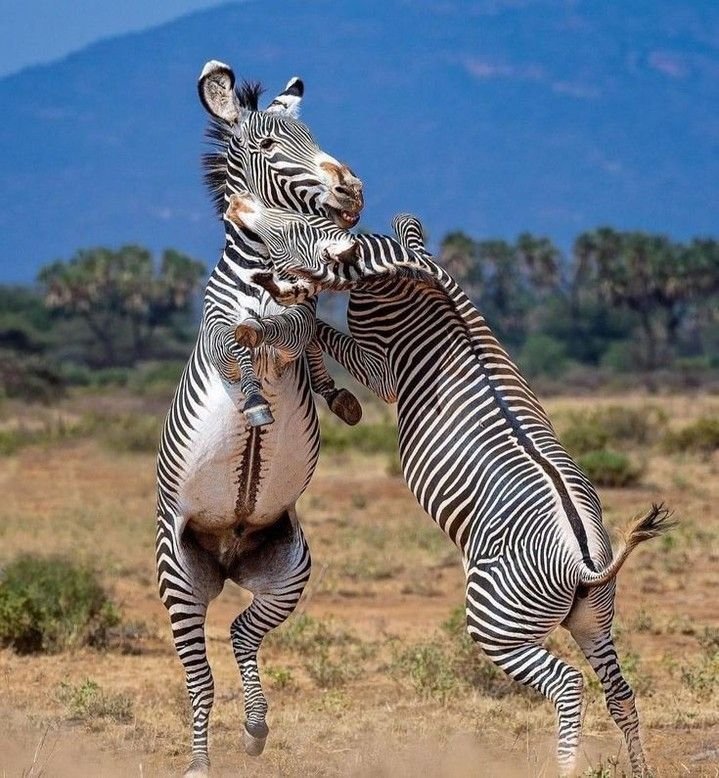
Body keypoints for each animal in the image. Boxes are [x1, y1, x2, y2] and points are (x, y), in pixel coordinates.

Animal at [156, 60, 365, 776]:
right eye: (274, 147)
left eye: (315, 135)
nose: (353, 189)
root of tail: (227, 553)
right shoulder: (219, 326)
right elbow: (233, 342)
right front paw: (251, 399)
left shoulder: (299, 330)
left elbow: (303, 333)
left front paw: (336, 394)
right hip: (178, 577)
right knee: (198, 677)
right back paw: (200, 761)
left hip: (286, 573)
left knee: (244, 637)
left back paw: (254, 729)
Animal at [224, 194, 674, 778]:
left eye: (291, 231)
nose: (237, 211)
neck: (418, 285)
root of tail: (583, 562)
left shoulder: (382, 370)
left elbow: (317, 328)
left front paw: (294, 338)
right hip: (593, 619)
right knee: (620, 692)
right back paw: (639, 768)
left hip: (497, 624)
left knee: (568, 684)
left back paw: (565, 767)